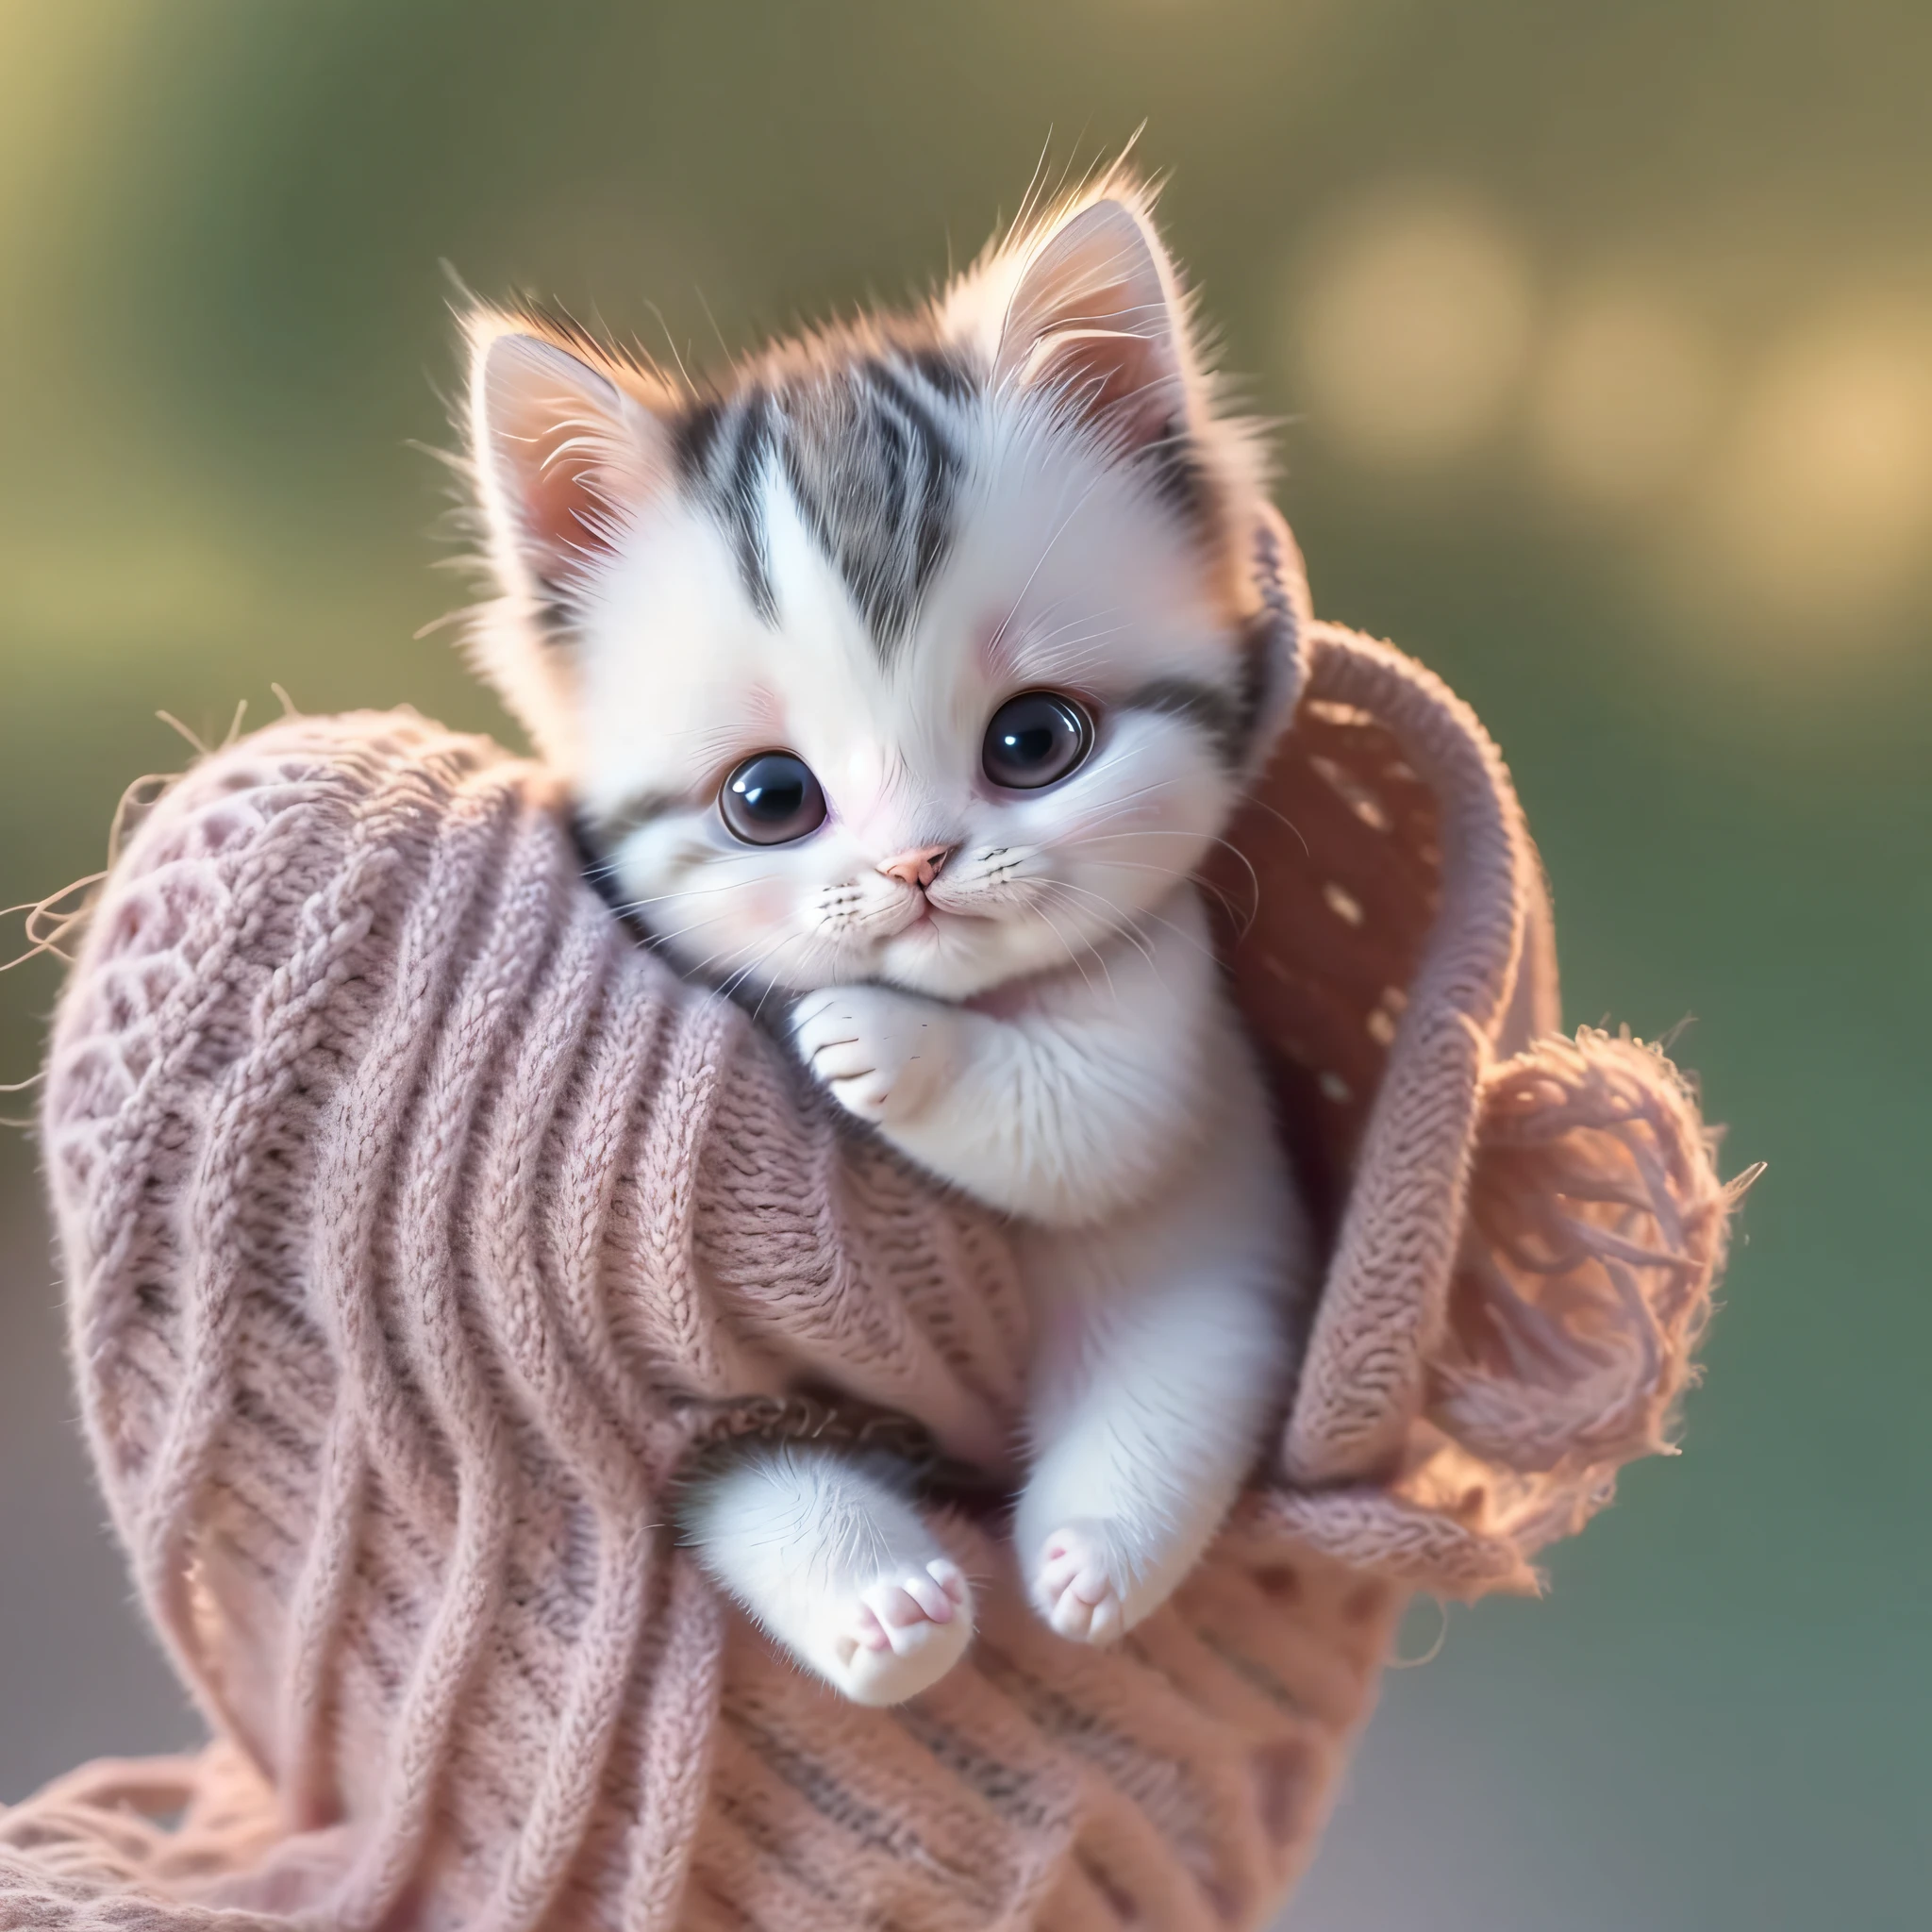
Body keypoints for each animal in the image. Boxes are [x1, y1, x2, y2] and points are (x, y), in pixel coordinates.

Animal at [463, 174, 1313, 1700]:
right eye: (768, 798)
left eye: (1034, 741)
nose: (919, 864)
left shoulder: (1170, 1004)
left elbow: (1089, 1120)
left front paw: (876, 1042)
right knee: (757, 1485)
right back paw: (884, 1607)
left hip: (1208, 1291)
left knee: (1172, 1394)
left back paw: (1092, 1555)